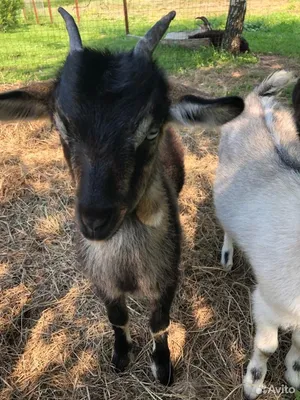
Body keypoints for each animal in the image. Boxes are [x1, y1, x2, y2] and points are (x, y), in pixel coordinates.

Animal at [213, 70, 300, 398]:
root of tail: (256, 99)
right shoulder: (267, 301)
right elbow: (266, 347)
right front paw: (253, 383)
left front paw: (294, 372)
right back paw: (227, 257)